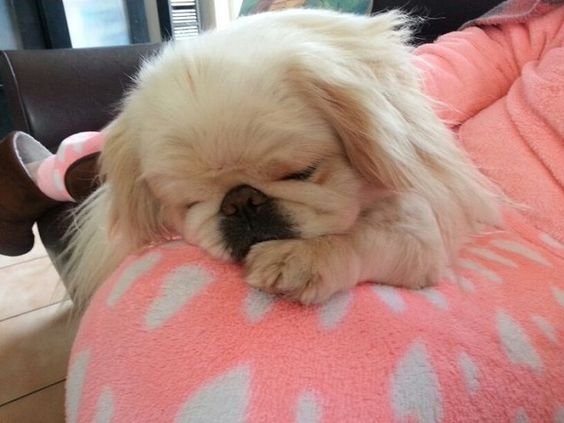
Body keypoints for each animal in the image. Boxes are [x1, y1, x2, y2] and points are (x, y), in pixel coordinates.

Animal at [64, 8, 500, 310]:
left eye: (302, 173)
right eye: (189, 203)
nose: (241, 201)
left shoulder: (421, 233)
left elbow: (365, 235)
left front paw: (302, 258)